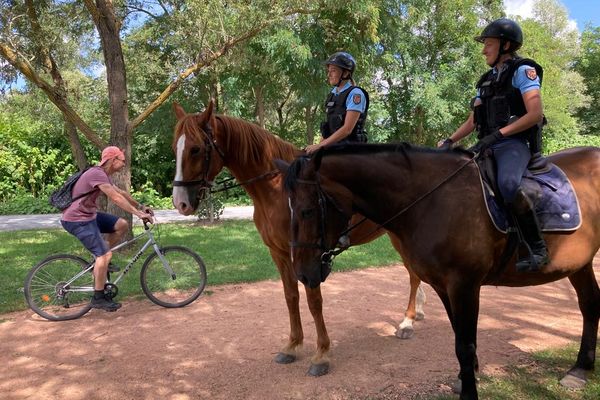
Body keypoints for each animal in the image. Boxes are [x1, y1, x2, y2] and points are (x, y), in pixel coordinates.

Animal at [169, 102, 426, 376]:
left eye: (196, 149)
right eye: (175, 148)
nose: (180, 203)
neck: (276, 189)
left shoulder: (308, 253)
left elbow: (314, 302)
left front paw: (321, 353)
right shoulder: (279, 253)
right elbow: (291, 297)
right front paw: (292, 345)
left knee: (413, 275)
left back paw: (408, 321)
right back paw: (418, 312)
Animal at [278, 142, 600, 398]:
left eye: (307, 210)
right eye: (288, 209)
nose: (302, 274)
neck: (432, 200)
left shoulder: (465, 285)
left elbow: (465, 344)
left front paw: (469, 390)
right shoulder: (444, 287)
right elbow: (460, 336)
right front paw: (465, 378)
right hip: (580, 264)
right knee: (589, 303)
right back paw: (580, 369)